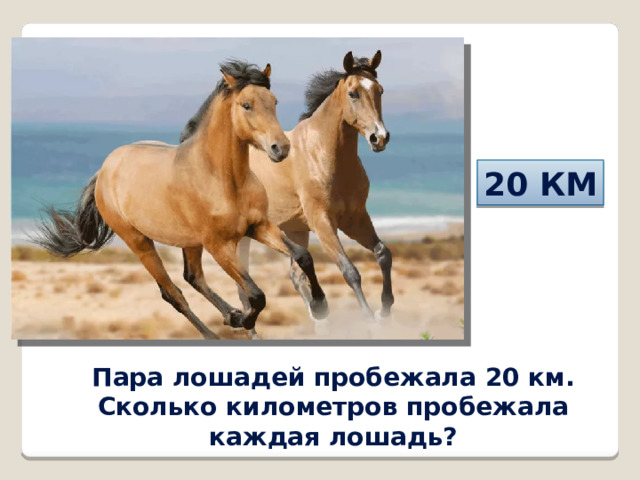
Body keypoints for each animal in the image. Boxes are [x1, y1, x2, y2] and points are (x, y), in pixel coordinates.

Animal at [34, 60, 329, 340]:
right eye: (246, 105)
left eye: (274, 102)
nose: (281, 148)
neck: (223, 179)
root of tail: (104, 170)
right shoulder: (219, 246)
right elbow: (257, 295)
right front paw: (244, 321)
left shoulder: (259, 226)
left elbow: (303, 256)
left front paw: (320, 306)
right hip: (140, 242)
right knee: (172, 293)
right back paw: (216, 331)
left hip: (189, 241)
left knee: (193, 277)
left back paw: (229, 314)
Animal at [181, 51, 392, 328]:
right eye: (353, 93)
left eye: (380, 90)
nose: (380, 138)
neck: (323, 153)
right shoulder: (322, 221)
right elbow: (349, 270)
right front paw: (368, 318)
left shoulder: (355, 219)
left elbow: (383, 253)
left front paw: (385, 310)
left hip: (293, 229)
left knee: (295, 276)